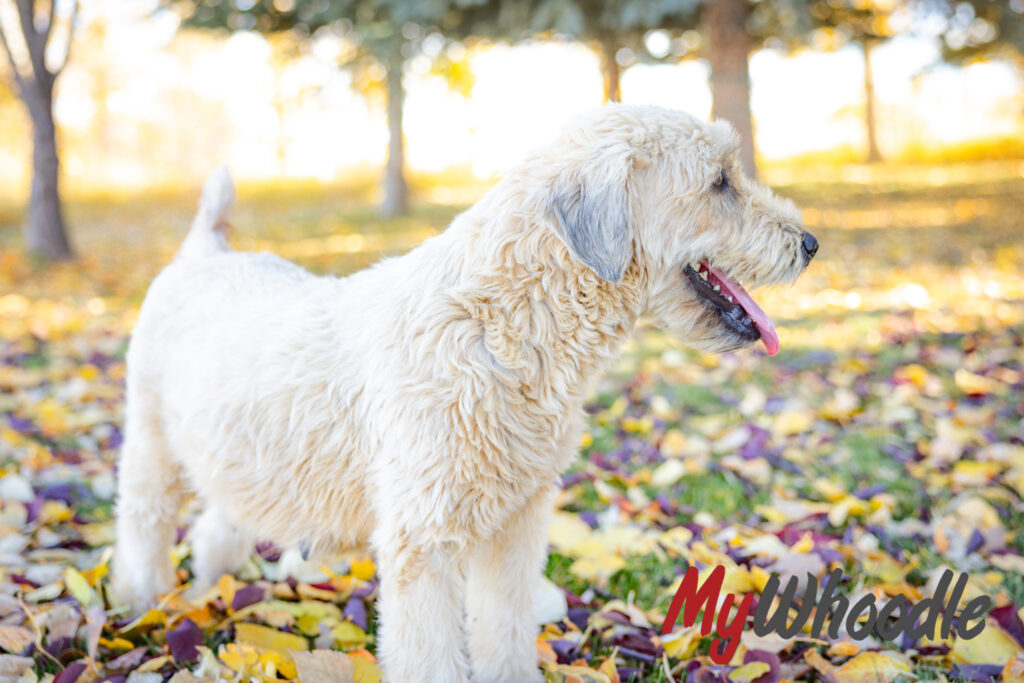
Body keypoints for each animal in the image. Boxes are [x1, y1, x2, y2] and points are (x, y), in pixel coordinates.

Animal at [114, 104, 815, 679]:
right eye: (720, 181)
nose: (810, 243)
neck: (506, 327)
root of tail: (204, 250)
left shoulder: (516, 525)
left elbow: (504, 631)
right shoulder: (423, 546)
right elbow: (430, 657)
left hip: (244, 456)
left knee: (217, 524)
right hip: (152, 449)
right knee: (144, 527)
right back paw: (142, 607)